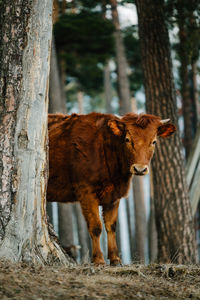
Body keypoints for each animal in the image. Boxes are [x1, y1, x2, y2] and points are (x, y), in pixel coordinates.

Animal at [47, 112, 175, 264]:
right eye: (127, 139)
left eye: (154, 141)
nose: (140, 169)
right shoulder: (86, 191)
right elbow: (96, 226)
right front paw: (98, 260)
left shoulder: (114, 195)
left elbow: (111, 226)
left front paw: (115, 259)